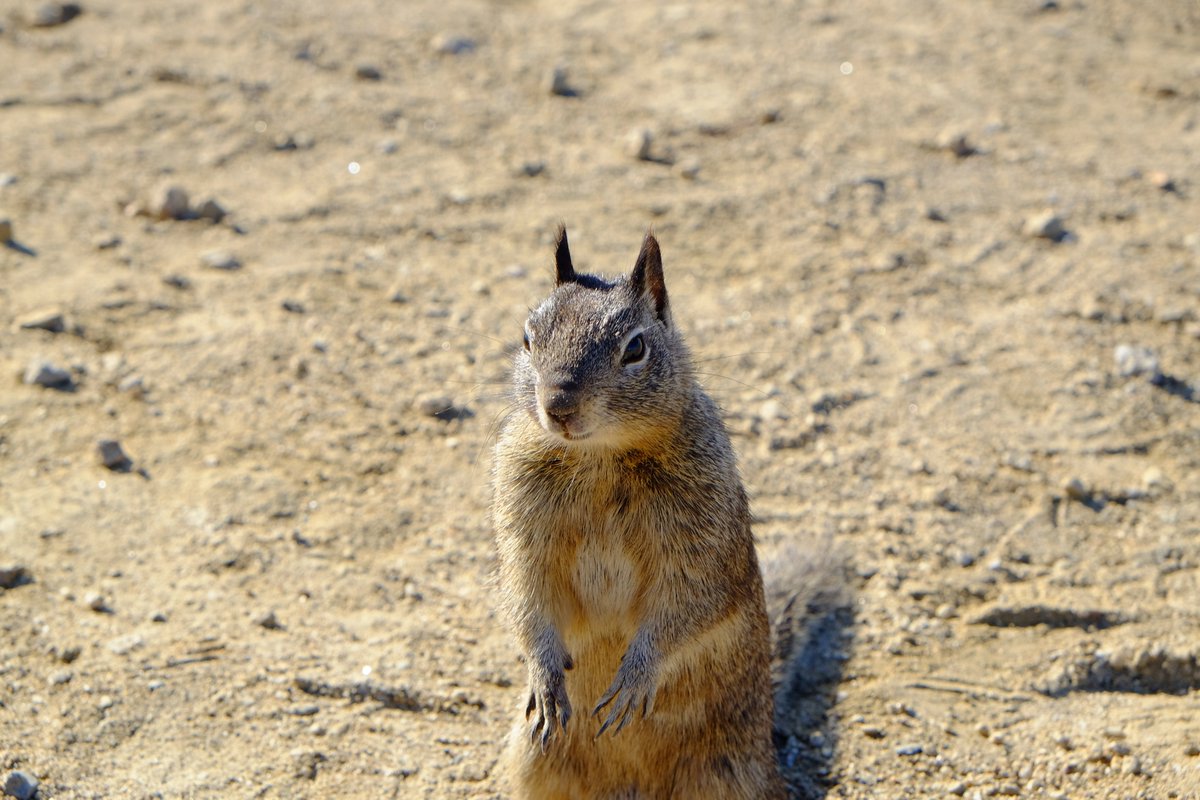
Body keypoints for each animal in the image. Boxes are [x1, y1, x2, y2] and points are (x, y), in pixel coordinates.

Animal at [492, 226, 800, 799]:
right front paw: (544, 678)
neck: (600, 457)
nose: (558, 405)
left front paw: (636, 676)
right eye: (527, 338)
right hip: (534, 763)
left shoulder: (701, 544)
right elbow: (527, 597)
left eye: (635, 348)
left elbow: (685, 606)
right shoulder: (523, 528)